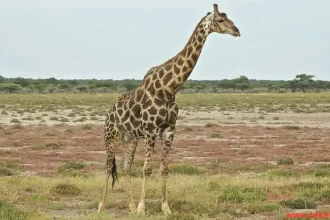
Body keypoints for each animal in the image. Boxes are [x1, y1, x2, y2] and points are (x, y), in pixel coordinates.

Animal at [97, 3, 240, 216]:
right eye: (221, 20)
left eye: (229, 17)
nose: (237, 31)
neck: (169, 88)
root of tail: (109, 114)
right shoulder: (150, 131)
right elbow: (147, 168)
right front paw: (142, 208)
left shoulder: (169, 130)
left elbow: (164, 169)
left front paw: (165, 208)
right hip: (111, 136)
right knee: (108, 167)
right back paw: (102, 205)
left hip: (130, 139)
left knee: (126, 167)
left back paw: (129, 206)